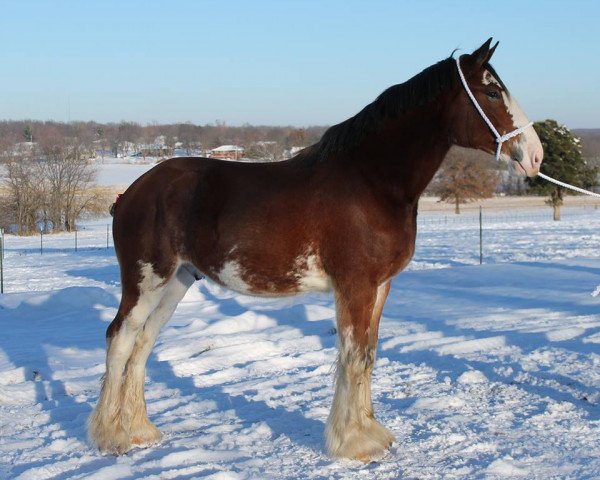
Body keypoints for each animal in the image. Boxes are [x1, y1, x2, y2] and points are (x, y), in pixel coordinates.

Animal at [88, 38, 544, 462]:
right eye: (491, 92)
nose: (536, 156)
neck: (371, 180)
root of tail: (133, 192)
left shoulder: (380, 286)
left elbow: (369, 354)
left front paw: (371, 433)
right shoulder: (355, 286)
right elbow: (354, 356)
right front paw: (355, 444)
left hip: (178, 281)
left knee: (143, 343)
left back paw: (140, 431)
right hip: (146, 280)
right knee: (120, 339)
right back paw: (112, 437)